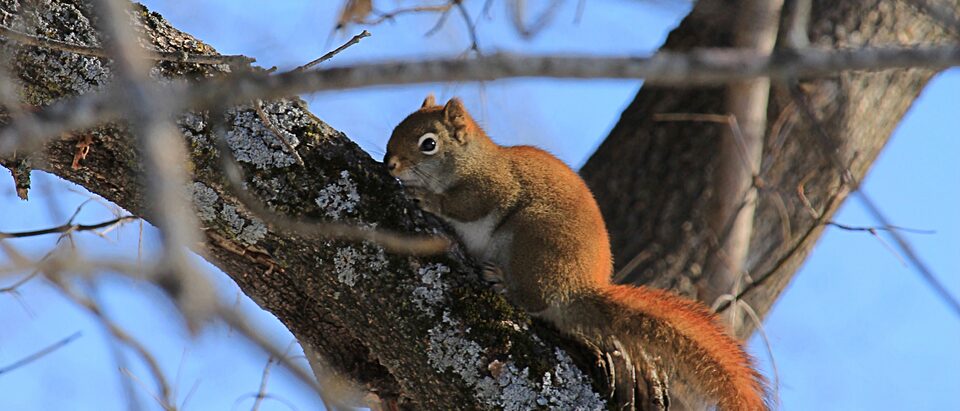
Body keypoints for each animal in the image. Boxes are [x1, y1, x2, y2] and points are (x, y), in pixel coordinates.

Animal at [385, 96, 767, 410]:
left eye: (428, 144)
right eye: (395, 129)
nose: (389, 165)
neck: (471, 160)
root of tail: (579, 288)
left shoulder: (492, 186)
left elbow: (465, 205)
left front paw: (427, 198)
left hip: (533, 240)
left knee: (534, 299)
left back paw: (504, 283)